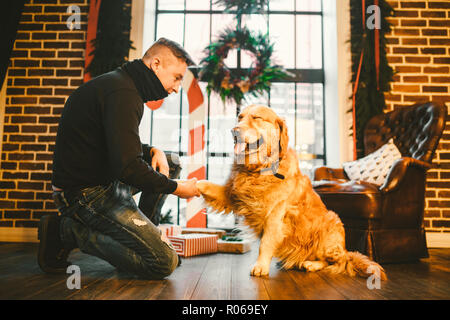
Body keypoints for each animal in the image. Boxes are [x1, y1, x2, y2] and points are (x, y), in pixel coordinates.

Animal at [197, 105, 386, 280]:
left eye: (257, 117)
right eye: (240, 117)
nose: (234, 131)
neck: (259, 170)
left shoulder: (275, 214)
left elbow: (265, 242)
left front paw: (260, 266)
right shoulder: (232, 194)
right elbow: (205, 184)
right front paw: (192, 184)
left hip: (330, 225)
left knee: (338, 261)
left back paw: (311, 264)